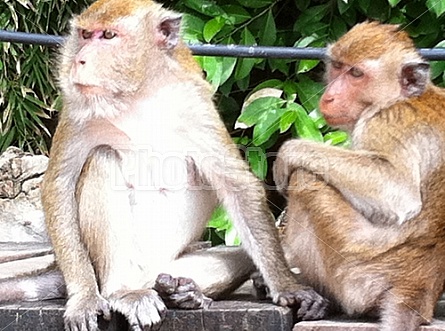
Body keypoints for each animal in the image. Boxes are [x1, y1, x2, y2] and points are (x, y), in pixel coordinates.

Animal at [26, 0, 330, 331]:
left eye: (108, 35)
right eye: (84, 34)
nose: (80, 60)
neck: (138, 94)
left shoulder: (194, 103)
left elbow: (237, 186)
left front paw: (288, 287)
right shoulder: (76, 108)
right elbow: (58, 186)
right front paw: (83, 298)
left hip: (170, 264)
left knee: (234, 256)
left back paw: (182, 292)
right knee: (103, 157)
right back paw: (125, 291)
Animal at [272, 21, 444, 331]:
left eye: (356, 73)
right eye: (338, 67)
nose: (329, 96)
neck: (399, 98)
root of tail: (419, 288)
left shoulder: (382, 123)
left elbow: (398, 192)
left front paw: (288, 153)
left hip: (354, 274)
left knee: (304, 178)